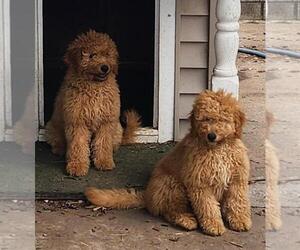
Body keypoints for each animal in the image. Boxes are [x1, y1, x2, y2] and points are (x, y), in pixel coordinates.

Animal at [45, 30, 141, 177]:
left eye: (107, 54)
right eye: (91, 55)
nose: (105, 67)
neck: (94, 87)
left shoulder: (106, 122)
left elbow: (103, 143)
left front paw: (104, 162)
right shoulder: (77, 122)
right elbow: (78, 145)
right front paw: (77, 166)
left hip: (117, 128)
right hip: (51, 127)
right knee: (58, 141)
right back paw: (60, 150)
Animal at [85, 90, 252, 236]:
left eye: (222, 119)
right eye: (205, 119)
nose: (211, 135)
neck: (217, 149)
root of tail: (148, 196)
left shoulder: (236, 179)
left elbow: (238, 201)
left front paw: (240, 221)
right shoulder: (199, 184)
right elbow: (208, 207)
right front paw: (214, 225)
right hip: (172, 185)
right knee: (171, 211)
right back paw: (187, 220)